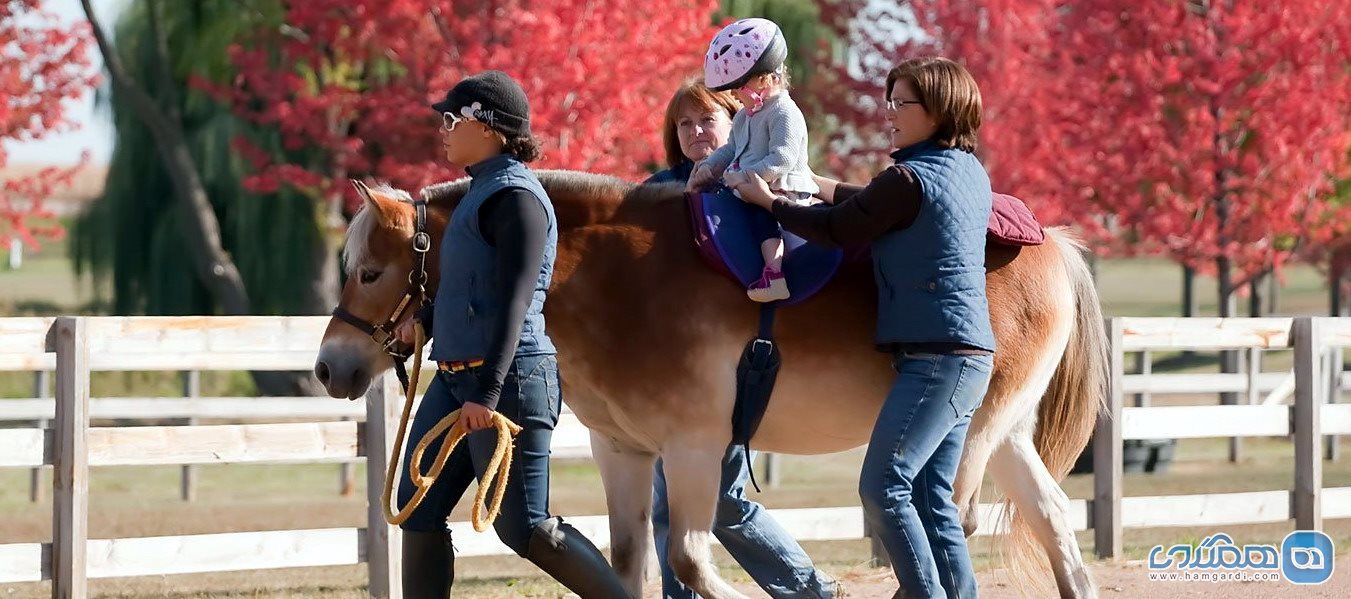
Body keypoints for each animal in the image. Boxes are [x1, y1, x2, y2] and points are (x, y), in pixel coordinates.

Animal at [316, 169, 1107, 599]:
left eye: (370, 271)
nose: (329, 365)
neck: (617, 280)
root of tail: (1051, 243)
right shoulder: (623, 452)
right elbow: (628, 563)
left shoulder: (694, 448)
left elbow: (690, 560)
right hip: (1004, 434)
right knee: (1052, 517)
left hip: (971, 426)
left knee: (954, 518)